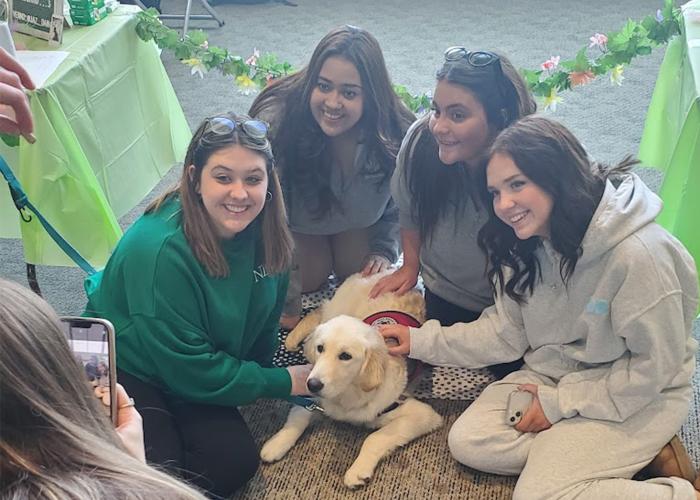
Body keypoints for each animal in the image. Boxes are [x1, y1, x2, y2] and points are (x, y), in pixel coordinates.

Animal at [260, 274, 440, 488]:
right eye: (320, 348)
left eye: (345, 356)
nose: (312, 385)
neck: (347, 395)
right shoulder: (312, 396)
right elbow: (298, 414)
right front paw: (276, 443)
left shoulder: (421, 414)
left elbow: (374, 437)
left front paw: (358, 469)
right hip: (337, 307)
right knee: (320, 310)